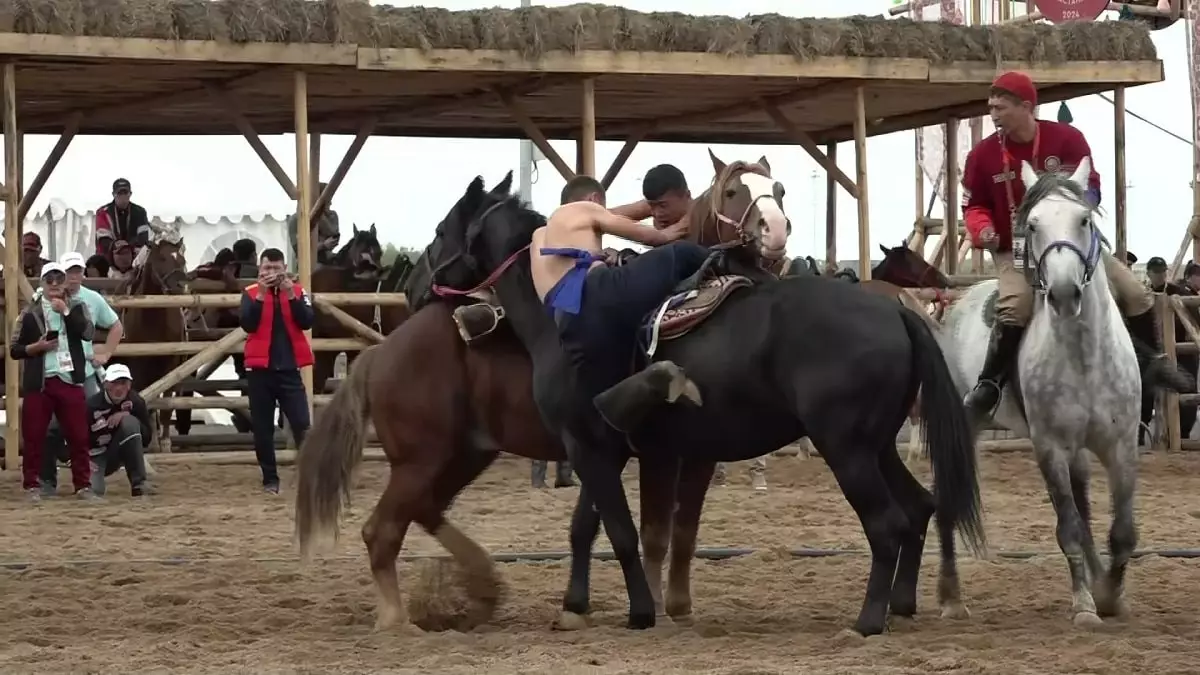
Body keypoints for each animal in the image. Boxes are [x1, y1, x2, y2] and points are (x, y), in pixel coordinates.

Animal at [931, 157, 1137, 624]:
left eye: (1084, 220)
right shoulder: (1050, 448)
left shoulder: (1120, 446)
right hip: (964, 426)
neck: (1084, 354)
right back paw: (950, 597)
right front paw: (1084, 605)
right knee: (947, 497)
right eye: (1033, 224)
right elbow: (1069, 528)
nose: (1063, 294)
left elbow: (1120, 531)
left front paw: (1109, 595)